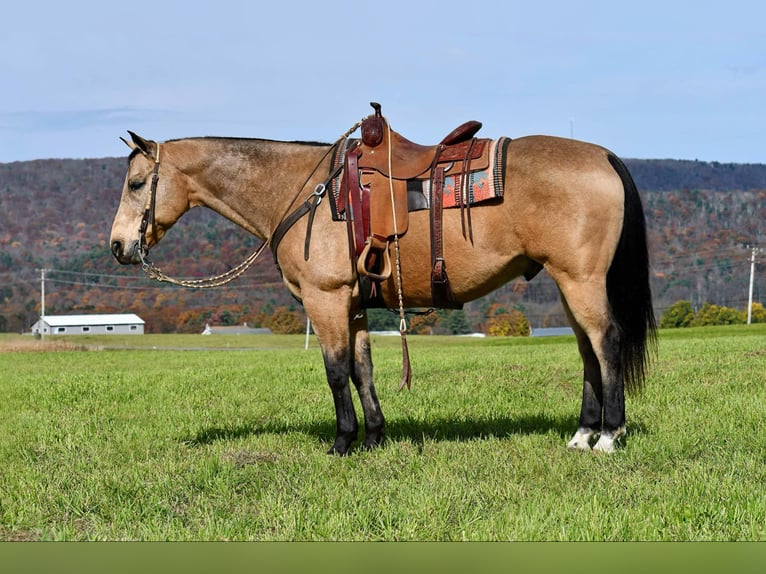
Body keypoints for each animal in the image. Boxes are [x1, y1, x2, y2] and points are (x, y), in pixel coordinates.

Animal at [111, 102, 656, 454]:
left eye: (137, 183)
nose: (118, 246)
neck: (303, 191)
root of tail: (602, 155)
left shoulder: (326, 299)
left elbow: (335, 371)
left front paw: (342, 442)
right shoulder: (352, 304)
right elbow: (362, 369)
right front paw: (374, 436)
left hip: (581, 280)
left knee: (606, 343)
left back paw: (610, 435)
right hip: (569, 284)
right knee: (587, 350)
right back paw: (582, 434)